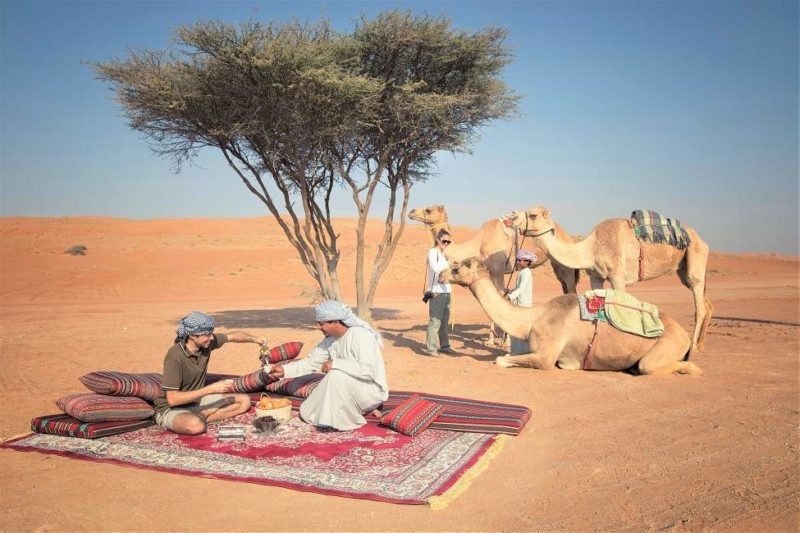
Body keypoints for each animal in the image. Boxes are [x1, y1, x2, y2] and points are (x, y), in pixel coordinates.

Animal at [440, 256, 704, 374]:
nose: (441, 274)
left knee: (652, 366)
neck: (532, 319)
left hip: (668, 344)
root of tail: (683, 334)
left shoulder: (546, 356)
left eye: (459, 266)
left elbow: (501, 360)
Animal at [512, 206, 712, 356]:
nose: (513, 217)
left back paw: (694, 347)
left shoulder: (617, 275)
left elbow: (623, 308)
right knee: (705, 301)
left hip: (695, 256)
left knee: (699, 304)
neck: (591, 248)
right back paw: (702, 344)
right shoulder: (595, 276)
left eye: (533, 214)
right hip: (683, 268)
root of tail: (702, 239)